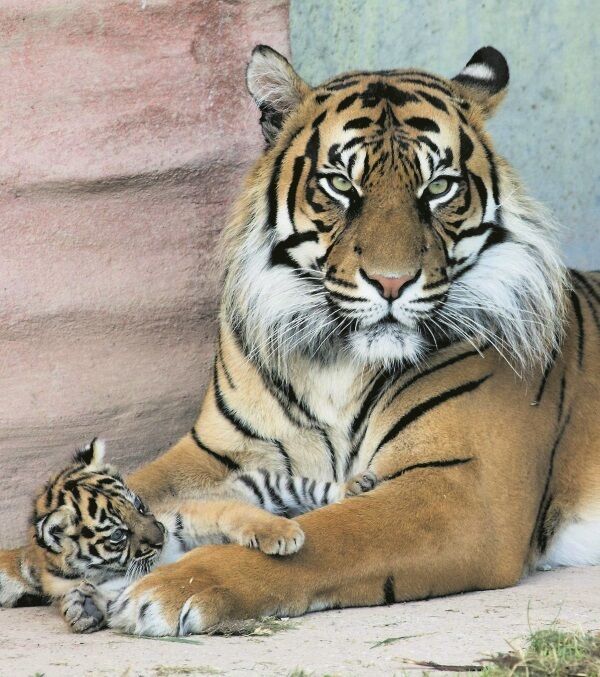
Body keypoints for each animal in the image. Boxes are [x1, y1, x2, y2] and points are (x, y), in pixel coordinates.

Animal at [20, 438, 377, 632]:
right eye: (119, 536)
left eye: (140, 506)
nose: (160, 538)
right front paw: (80, 610)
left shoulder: (189, 515)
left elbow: (234, 514)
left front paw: (281, 532)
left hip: (270, 484)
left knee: (316, 488)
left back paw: (358, 485)